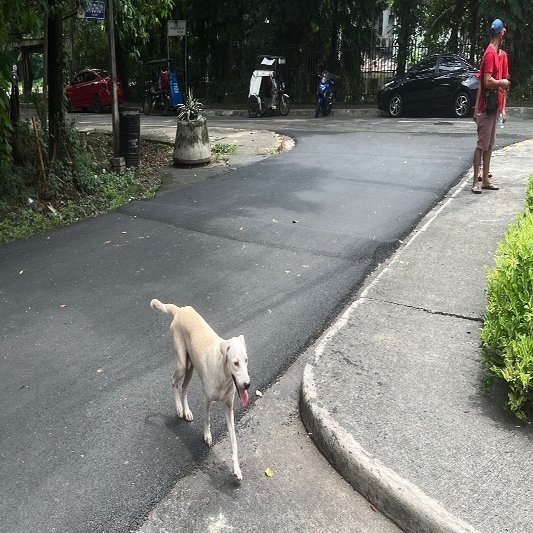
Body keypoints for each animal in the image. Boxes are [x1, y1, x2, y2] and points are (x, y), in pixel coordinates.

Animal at [150, 300, 249, 478]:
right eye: (235, 363)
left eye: (246, 360)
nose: (247, 385)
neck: (223, 375)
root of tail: (180, 309)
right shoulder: (207, 399)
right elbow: (207, 419)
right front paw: (207, 436)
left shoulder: (229, 408)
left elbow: (234, 441)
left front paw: (236, 468)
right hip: (182, 363)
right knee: (174, 382)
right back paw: (179, 409)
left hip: (190, 367)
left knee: (184, 388)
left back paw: (187, 411)